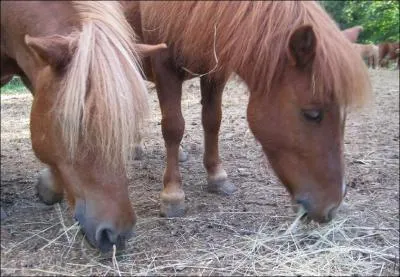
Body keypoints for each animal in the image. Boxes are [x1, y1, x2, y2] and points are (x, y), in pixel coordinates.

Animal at [122, 1, 372, 222]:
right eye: (312, 114)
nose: (332, 206)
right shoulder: (165, 68)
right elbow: (173, 127)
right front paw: (173, 194)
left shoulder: (216, 71)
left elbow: (212, 120)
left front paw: (217, 176)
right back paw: (135, 147)